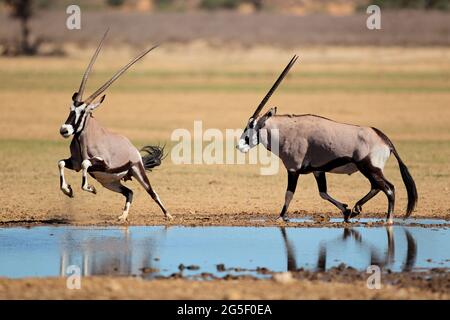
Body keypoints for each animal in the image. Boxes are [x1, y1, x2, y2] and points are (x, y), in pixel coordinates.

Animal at [59, 31, 171, 222]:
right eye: (71, 108)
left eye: (83, 111)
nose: (65, 130)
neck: (87, 138)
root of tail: (133, 151)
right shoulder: (74, 163)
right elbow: (61, 163)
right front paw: (68, 190)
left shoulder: (102, 164)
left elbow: (86, 163)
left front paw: (89, 188)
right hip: (110, 182)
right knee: (129, 192)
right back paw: (122, 216)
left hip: (136, 172)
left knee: (152, 193)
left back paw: (168, 215)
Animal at [237, 56, 416, 224]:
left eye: (251, 124)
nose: (239, 146)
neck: (286, 131)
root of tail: (385, 140)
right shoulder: (318, 170)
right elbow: (323, 192)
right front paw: (346, 210)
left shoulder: (293, 170)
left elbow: (289, 194)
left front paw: (281, 217)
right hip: (369, 170)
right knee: (377, 187)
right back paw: (356, 208)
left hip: (370, 168)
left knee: (389, 188)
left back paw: (388, 219)